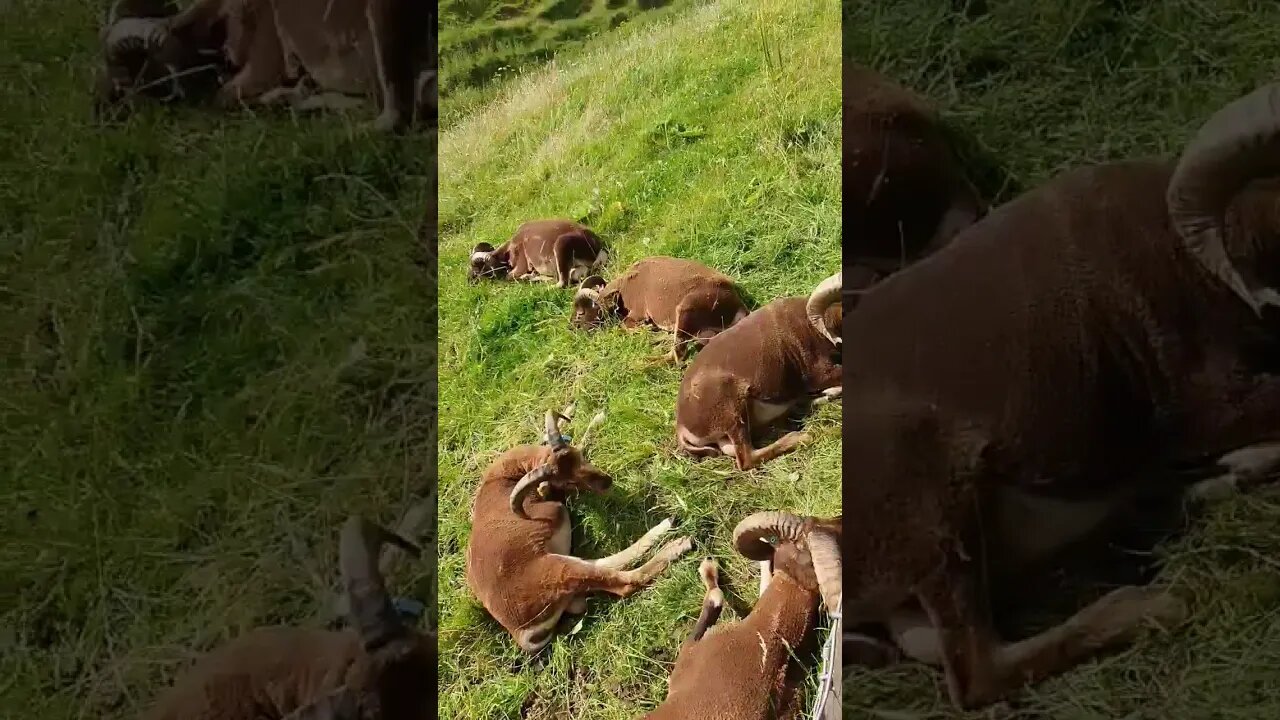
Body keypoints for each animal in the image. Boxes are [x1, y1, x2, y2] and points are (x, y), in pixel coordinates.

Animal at [570, 254, 747, 361]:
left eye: (581, 313)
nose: (571, 328)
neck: (623, 287)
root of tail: (737, 306)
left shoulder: (638, 312)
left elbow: (626, 324)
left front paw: (646, 329)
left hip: (685, 308)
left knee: (676, 355)